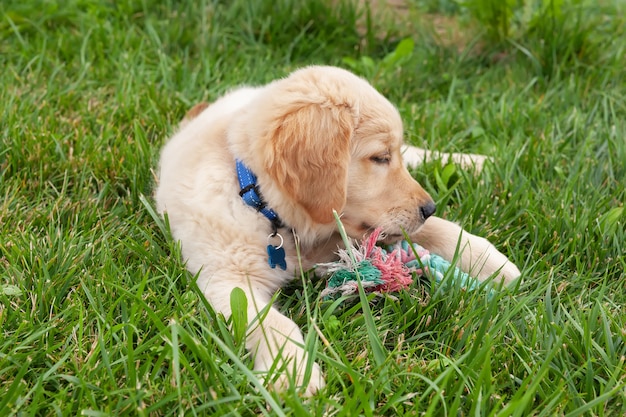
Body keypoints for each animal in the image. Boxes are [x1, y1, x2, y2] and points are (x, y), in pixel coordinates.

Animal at [155, 66, 516, 394]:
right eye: (380, 157)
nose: (429, 208)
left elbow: (430, 230)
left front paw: (489, 261)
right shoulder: (225, 279)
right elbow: (270, 321)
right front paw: (293, 373)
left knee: (420, 153)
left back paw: (480, 162)